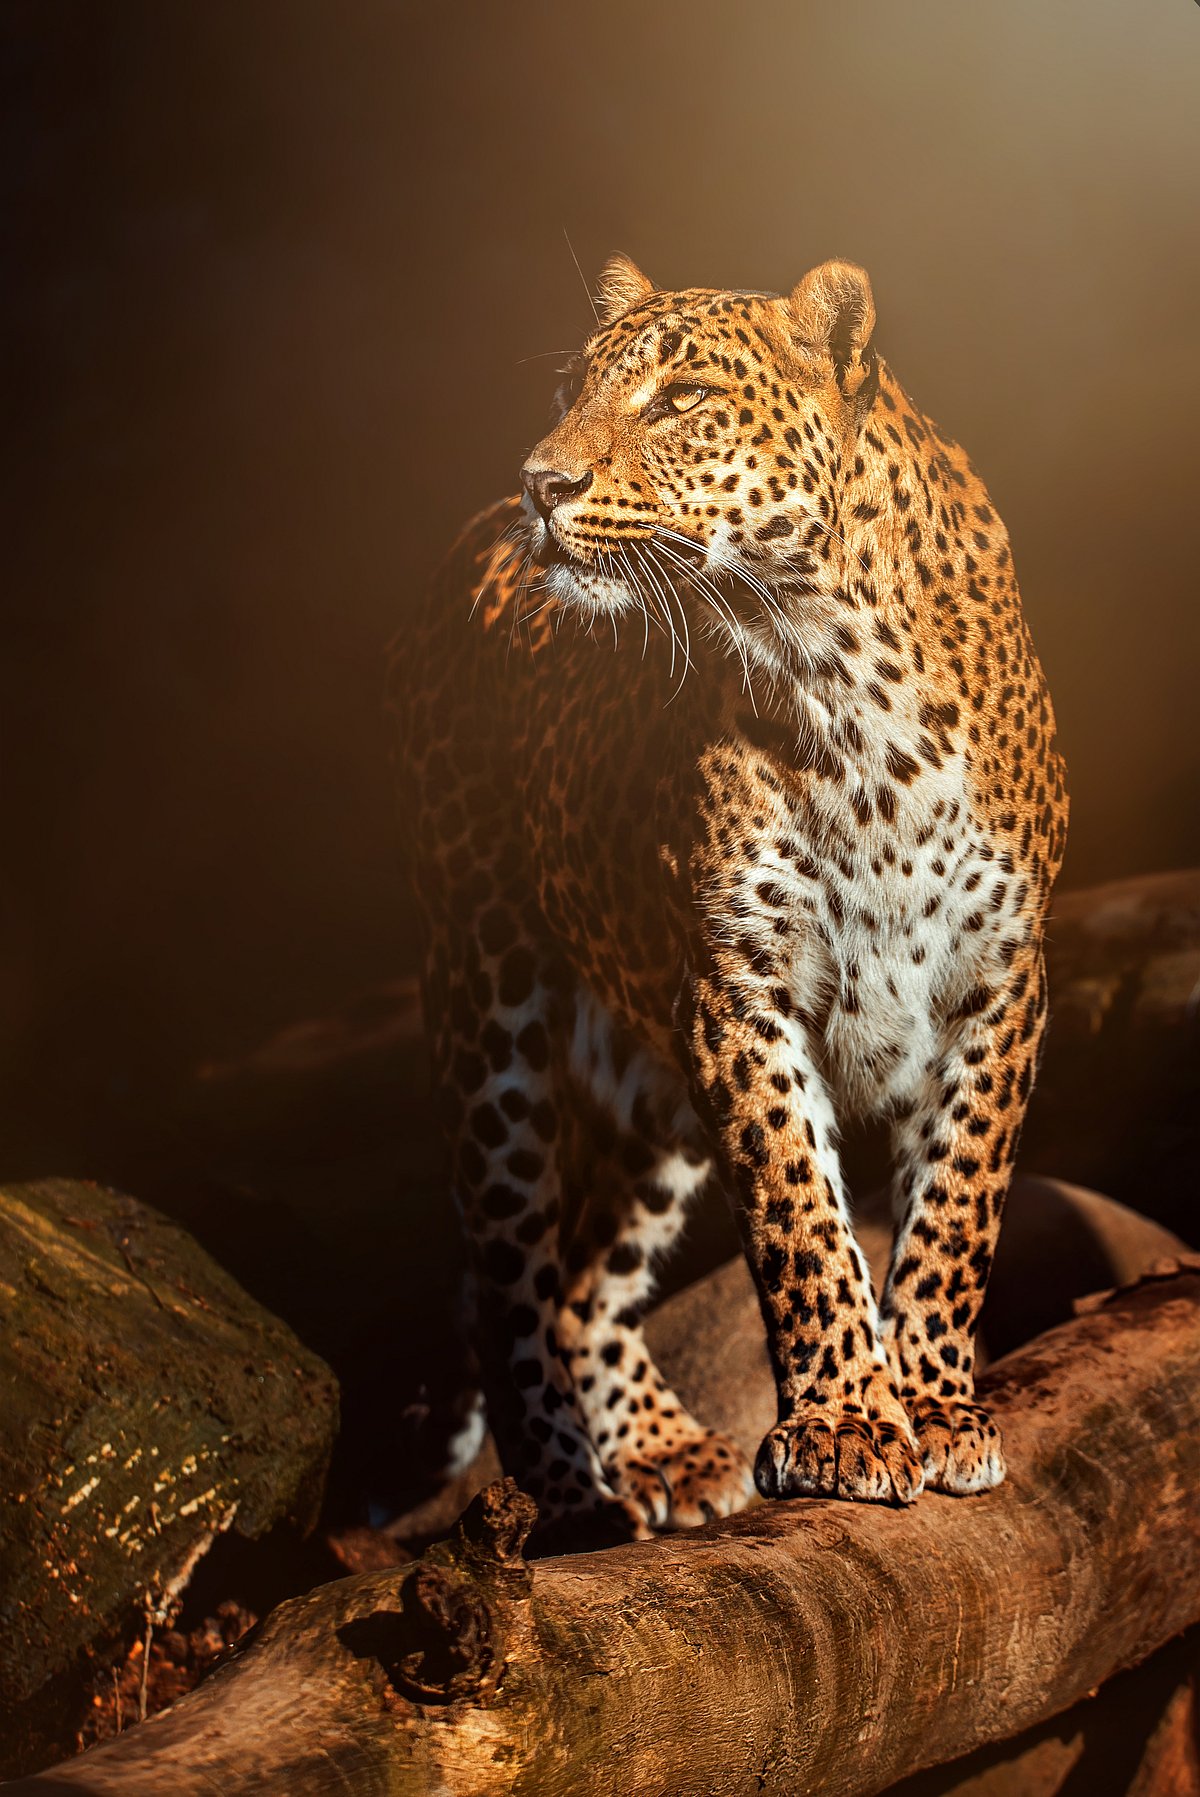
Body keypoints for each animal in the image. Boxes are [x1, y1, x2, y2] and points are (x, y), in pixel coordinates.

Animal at [389, 254, 1068, 1545]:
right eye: (574, 388)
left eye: (683, 398)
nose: (539, 482)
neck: (836, 671)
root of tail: (466, 544)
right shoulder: (737, 990)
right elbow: (802, 1217)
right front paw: (847, 1424)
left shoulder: (1001, 980)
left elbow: (957, 1205)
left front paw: (934, 1406)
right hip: (490, 1003)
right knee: (510, 1281)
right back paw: (567, 1499)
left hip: (646, 1092)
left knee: (585, 1283)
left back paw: (660, 1451)